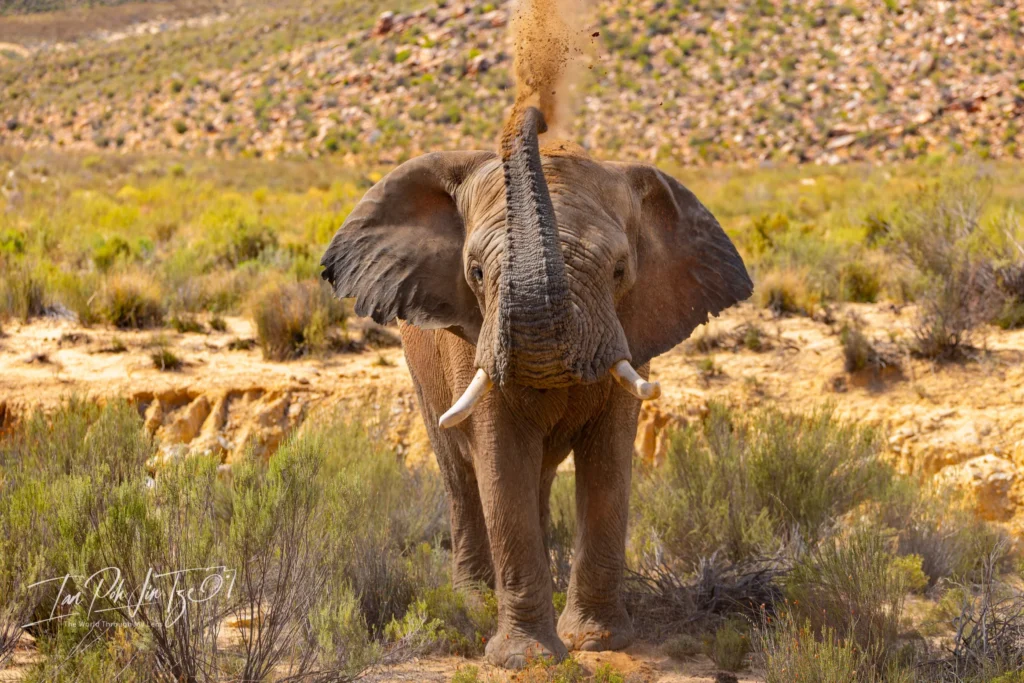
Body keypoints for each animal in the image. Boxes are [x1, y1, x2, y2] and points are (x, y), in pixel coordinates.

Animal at [320, 106, 752, 669]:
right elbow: (501, 465)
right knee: (460, 478)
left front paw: (597, 642)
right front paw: (527, 659)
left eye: (619, 271)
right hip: (420, 371)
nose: (539, 116)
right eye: (476, 273)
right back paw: (474, 602)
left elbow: (609, 464)